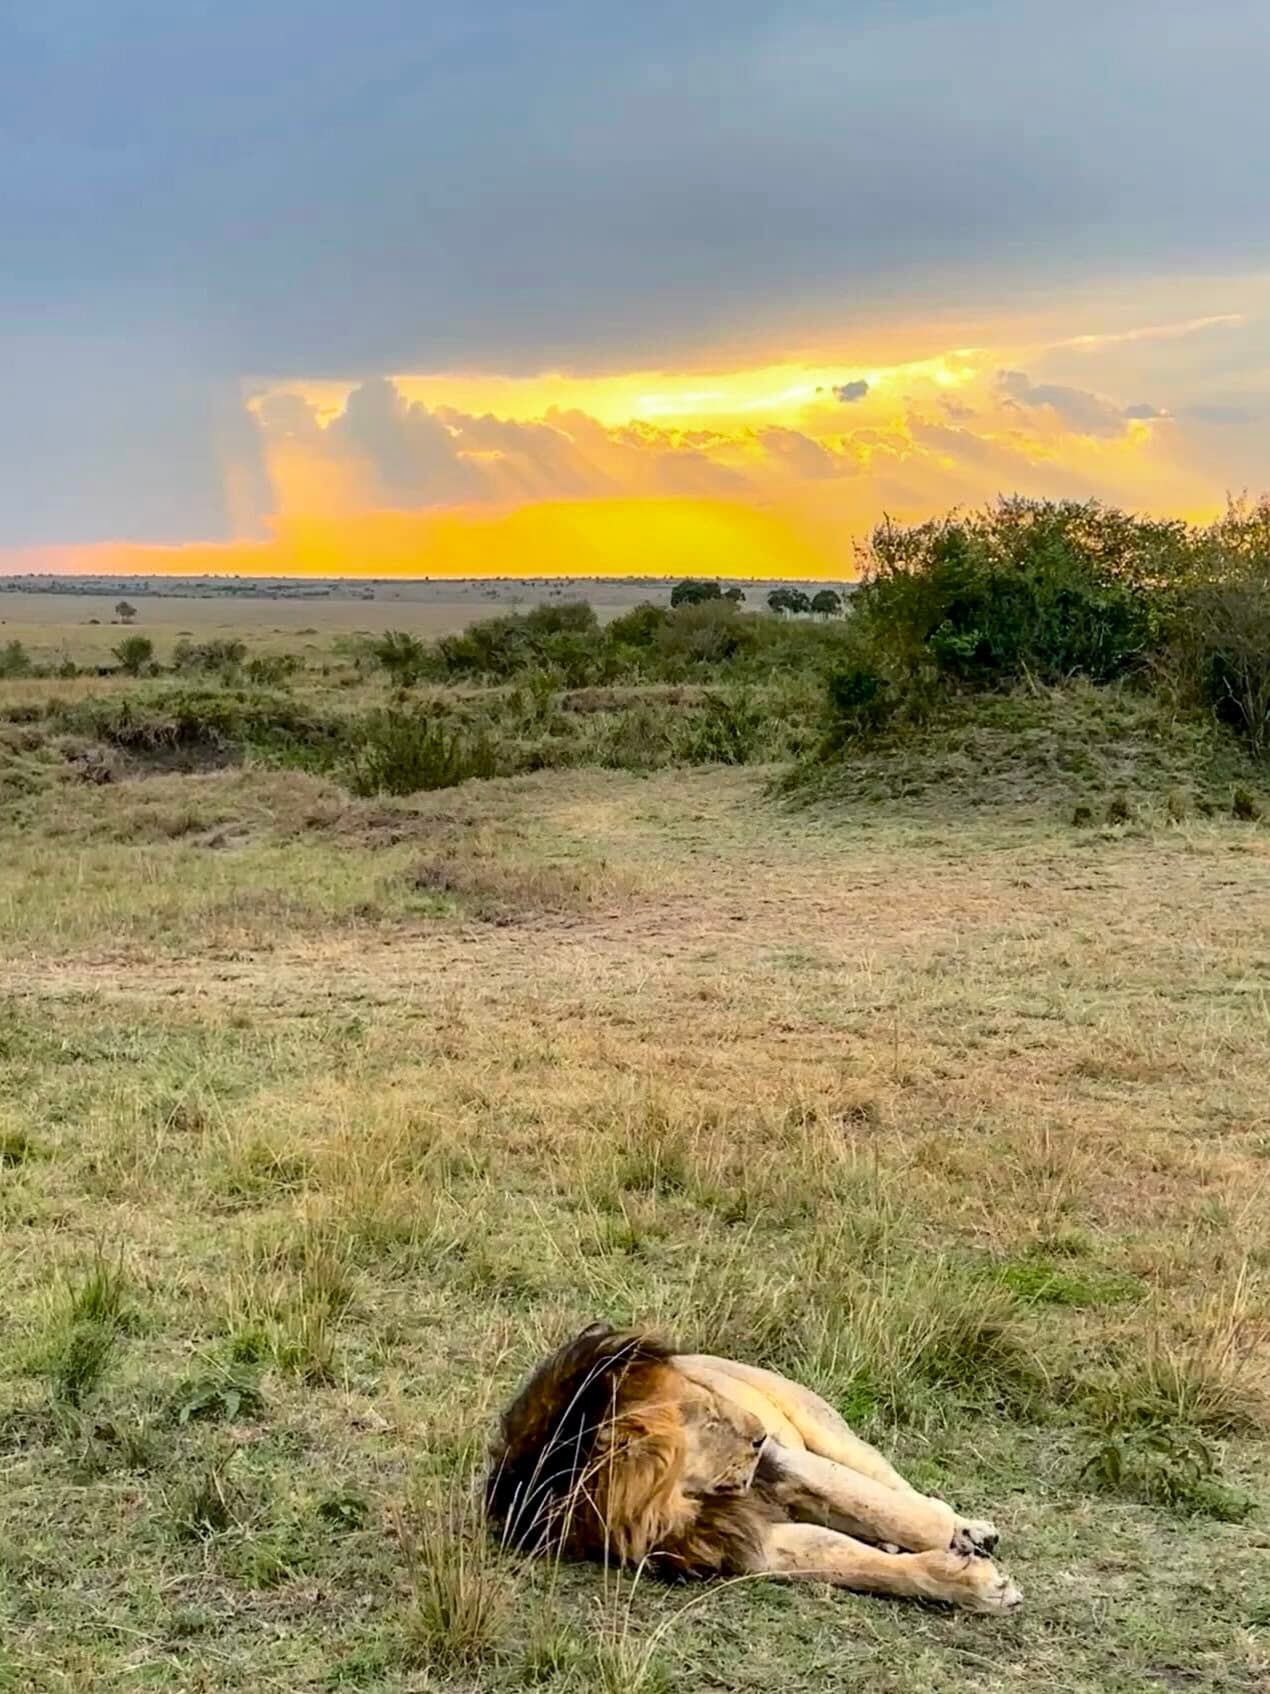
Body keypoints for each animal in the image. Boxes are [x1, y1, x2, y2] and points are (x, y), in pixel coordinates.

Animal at [485, 1323, 1022, 1614]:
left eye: (706, 1396)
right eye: (706, 1417)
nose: (761, 1434)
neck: (677, 1501)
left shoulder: (785, 1467)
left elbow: (889, 1510)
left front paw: (974, 1567)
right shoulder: (732, 1540)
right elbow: (851, 1560)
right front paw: (966, 1580)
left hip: (827, 1431)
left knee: (903, 1490)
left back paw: (970, 1530)